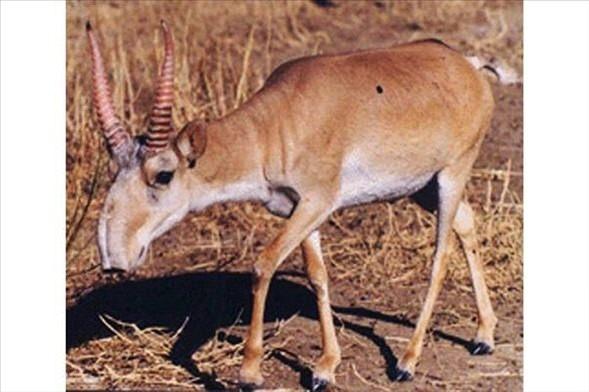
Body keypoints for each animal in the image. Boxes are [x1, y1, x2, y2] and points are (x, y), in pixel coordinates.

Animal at [87, 20, 500, 388]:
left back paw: (407, 362)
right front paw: (324, 369)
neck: (274, 126)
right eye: (113, 169)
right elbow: (318, 276)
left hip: (451, 175)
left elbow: (263, 264)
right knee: (467, 222)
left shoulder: (317, 202)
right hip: (422, 188)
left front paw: (250, 373)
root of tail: (468, 65)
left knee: (440, 257)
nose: (114, 258)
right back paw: (483, 336)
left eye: (163, 175)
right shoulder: (300, 210)